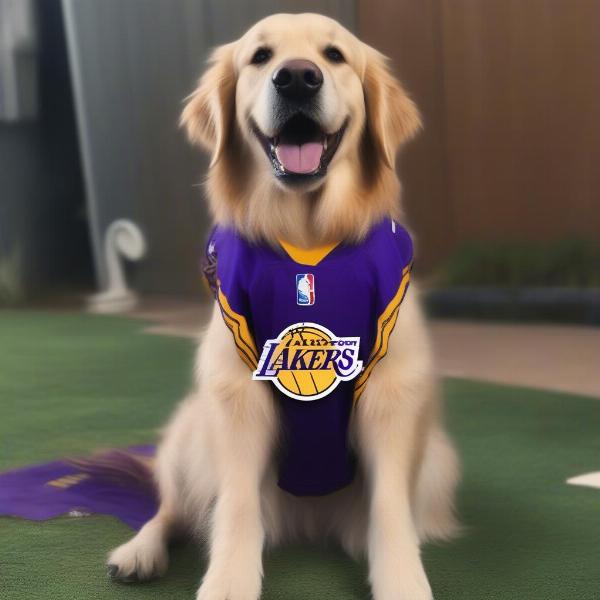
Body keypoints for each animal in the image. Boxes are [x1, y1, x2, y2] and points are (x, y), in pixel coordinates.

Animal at [106, 10, 460, 600]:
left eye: (335, 55)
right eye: (260, 56)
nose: (297, 77)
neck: (306, 229)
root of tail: (309, 524)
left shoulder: (391, 392)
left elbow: (389, 507)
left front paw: (403, 581)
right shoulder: (237, 390)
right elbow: (235, 505)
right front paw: (228, 582)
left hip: (436, 459)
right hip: (189, 433)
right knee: (174, 511)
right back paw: (138, 552)